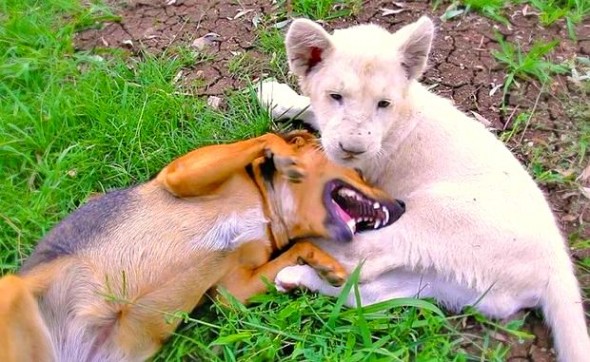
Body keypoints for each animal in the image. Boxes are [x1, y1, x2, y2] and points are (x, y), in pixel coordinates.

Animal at [0, 132, 408, 360]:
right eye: (361, 173)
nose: (403, 206)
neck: (266, 206)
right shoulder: (180, 176)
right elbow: (266, 138)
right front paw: (282, 155)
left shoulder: (232, 289)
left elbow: (296, 249)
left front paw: (325, 265)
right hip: (11, 290)